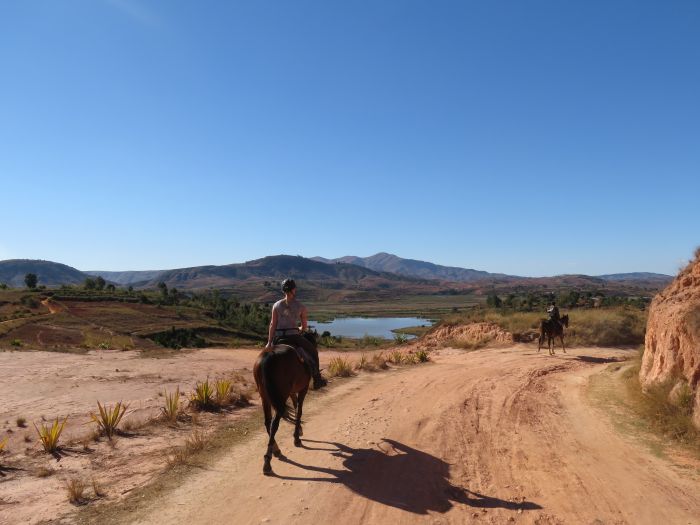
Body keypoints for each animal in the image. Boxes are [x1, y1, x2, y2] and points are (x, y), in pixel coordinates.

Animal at [250, 344, 308, 474]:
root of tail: (268, 356)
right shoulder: (303, 390)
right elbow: (299, 411)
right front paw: (297, 438)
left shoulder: (292, 392)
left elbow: (296, 408)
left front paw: (299, 431)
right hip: (281, 396)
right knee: (275, 423)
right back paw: (268, 461)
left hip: (265, 397)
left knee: (268, 423)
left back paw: (275, 451)